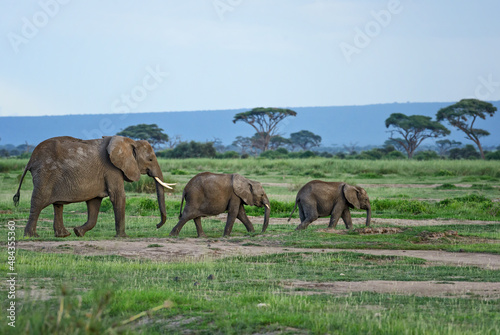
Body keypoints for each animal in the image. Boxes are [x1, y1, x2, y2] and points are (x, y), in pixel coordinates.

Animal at [13, 135, 174, 238]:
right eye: (150, 159)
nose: (157, 226)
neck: (130, 142)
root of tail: (31, 160)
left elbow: (94, 203)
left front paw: (78, 232)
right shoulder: (112, 169)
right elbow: (118, 197)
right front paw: (123, 237)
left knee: (57, 204)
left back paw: (63, 235)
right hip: (45, 174)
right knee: (38, 202)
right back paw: (31, 236)